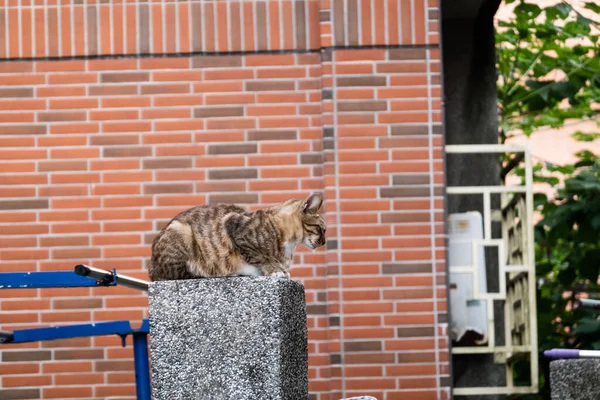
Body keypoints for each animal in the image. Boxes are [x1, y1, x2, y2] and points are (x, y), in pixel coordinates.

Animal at [150, 193, 328, 282]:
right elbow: (261, 256)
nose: (324, 242)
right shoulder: (234, 226)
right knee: (177, 275)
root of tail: (151, 268)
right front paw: (275, 269)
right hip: (182, 232)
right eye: (321, 229)